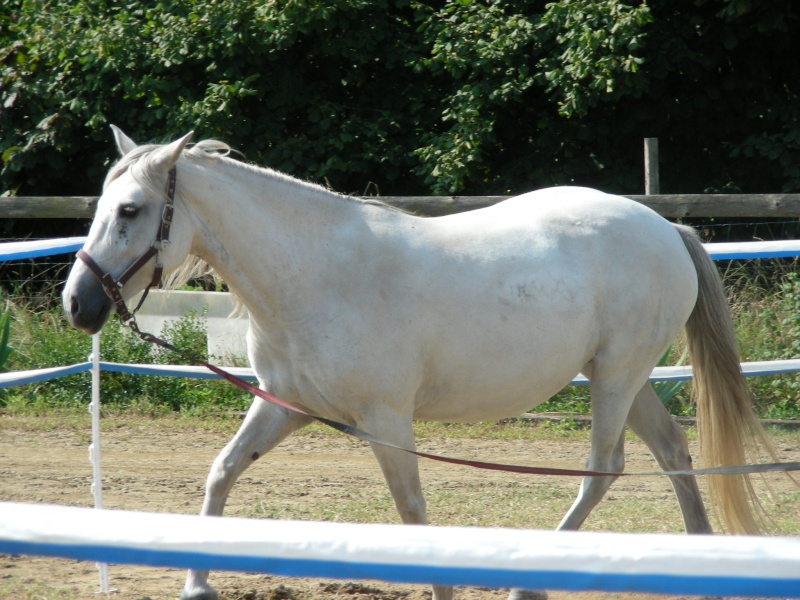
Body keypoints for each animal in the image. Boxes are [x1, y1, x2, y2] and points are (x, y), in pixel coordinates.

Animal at [64, 127, 776, 600]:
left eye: (130, 210)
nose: (79, 303)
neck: (319, 276)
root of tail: (665, 228)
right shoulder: (285, 407)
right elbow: (221, 472)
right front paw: (197, 585)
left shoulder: (386, 422)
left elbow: (411, 513)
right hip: (623, 379)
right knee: (674, 452)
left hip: (617, 377)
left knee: (604, 470)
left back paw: (530, 586)